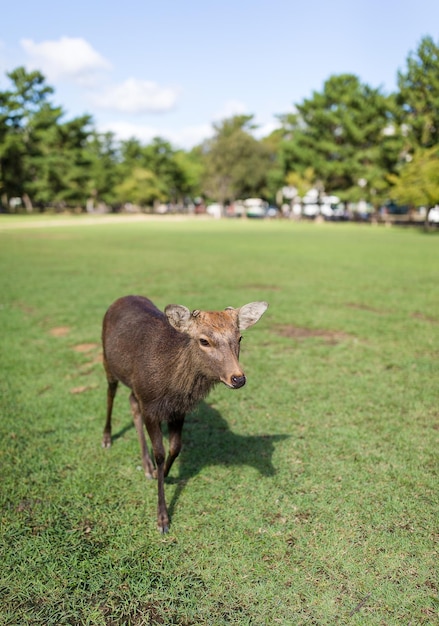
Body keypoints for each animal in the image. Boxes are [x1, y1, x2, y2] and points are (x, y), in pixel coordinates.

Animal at [102, 294, 268, 528]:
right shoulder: (150, 405)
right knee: (111, 394)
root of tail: (121, 298)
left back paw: (146, 466)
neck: (171, 385)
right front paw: (162, 518)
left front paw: (164, 474)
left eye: (240, 338)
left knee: (132, 402)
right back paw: (107, 438)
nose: (238, 378)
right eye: (204, 340)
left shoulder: (178, 409)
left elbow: (175, 447)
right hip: (107, 362)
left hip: (135, 387)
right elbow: (160, 453)